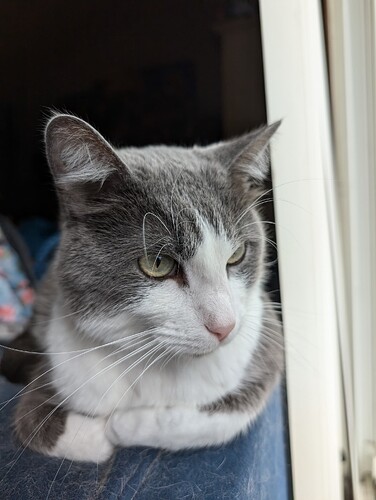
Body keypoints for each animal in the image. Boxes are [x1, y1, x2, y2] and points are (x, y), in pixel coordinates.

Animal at [5, 113, 284, 460]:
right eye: (158, 263)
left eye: (237, 254)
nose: (225, 327)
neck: (156, 361)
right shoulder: (58, 362)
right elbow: (31, 421)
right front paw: (102, 432)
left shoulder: (264, 341)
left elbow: (225, 417)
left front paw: (123, 424)